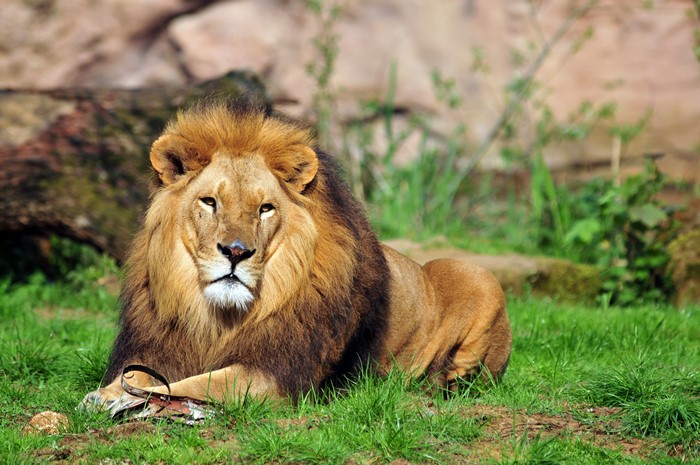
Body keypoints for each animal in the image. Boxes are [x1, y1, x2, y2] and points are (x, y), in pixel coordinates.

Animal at [82, 96, 511, 414]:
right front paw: (107, 393)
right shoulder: (163, 344)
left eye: (265, 209)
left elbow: (197, 383)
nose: (236, 252)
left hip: (477, 275)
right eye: (209, 202)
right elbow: (141, 375)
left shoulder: (272, 375)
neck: (217, 318)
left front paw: (133, 399)